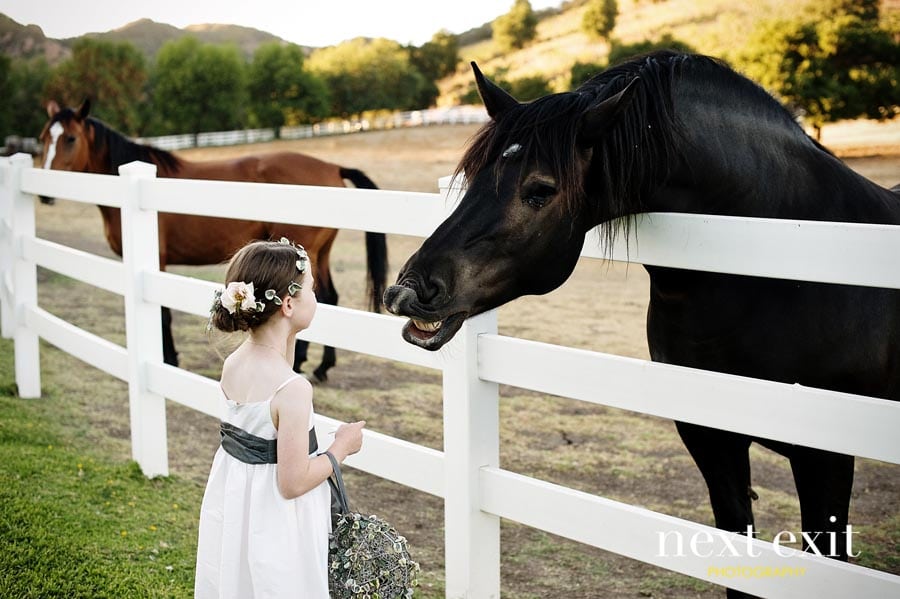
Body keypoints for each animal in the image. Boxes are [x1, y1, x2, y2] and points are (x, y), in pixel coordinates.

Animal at [39, 98, 386, 380]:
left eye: (70, 138)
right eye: (43, 138)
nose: (44, 192)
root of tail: (332, 167)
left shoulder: (157, 260)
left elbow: (163, 313)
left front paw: (169, 359)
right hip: (318, 254)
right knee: (329, 297)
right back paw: (316, 365)